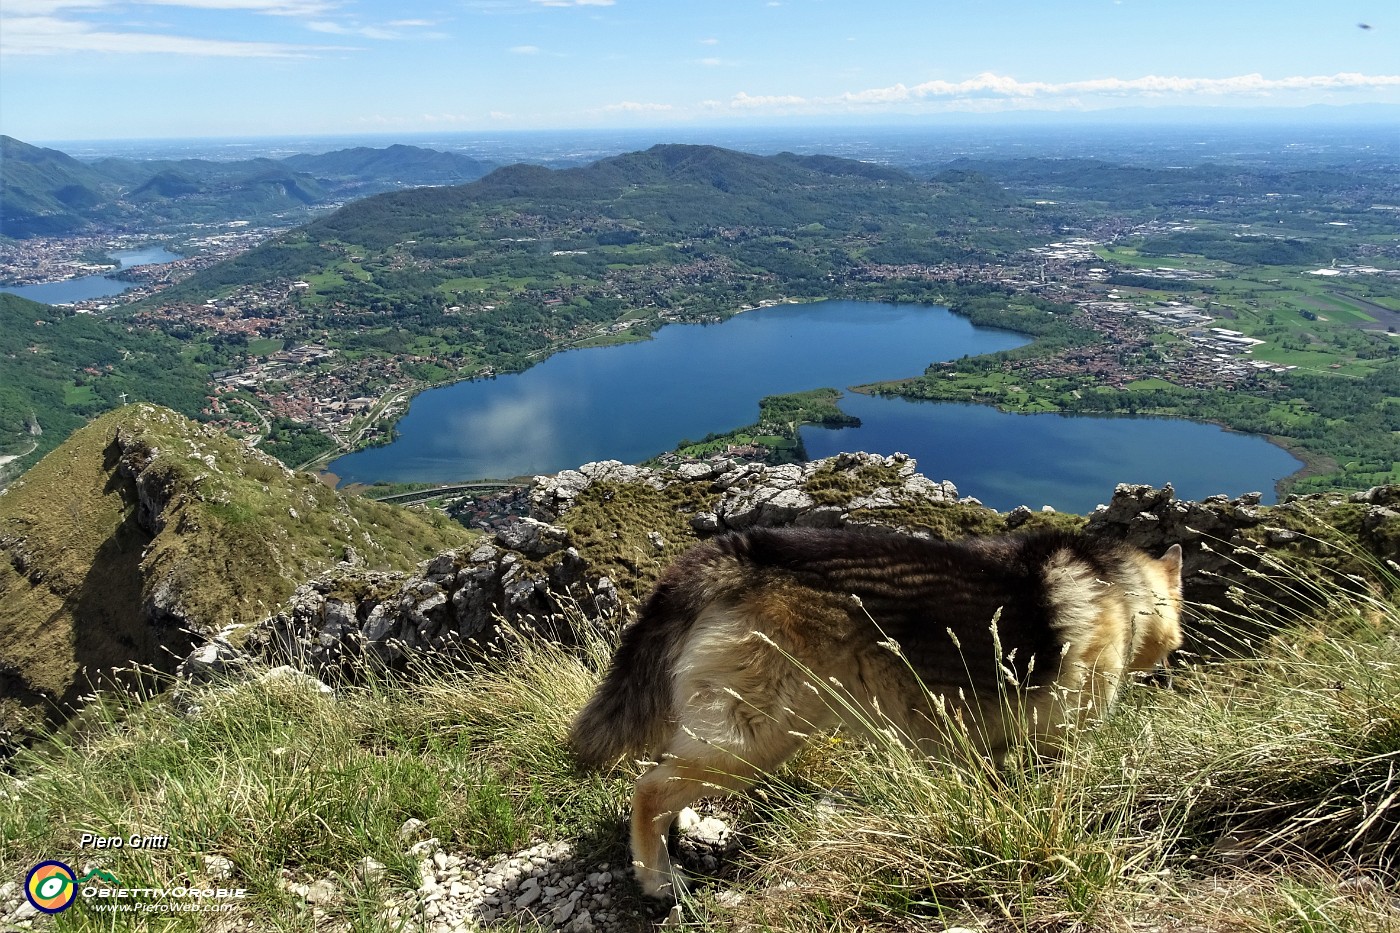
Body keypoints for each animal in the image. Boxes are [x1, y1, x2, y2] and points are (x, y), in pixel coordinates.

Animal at [568, 523, 1181, 896]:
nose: (1166, 672)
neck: (1122, 591)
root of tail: (732, 554)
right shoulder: (1055, 742)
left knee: (666, 776)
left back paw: (677, 833)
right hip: (759, 737)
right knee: (648, 791)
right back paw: (656, 878)